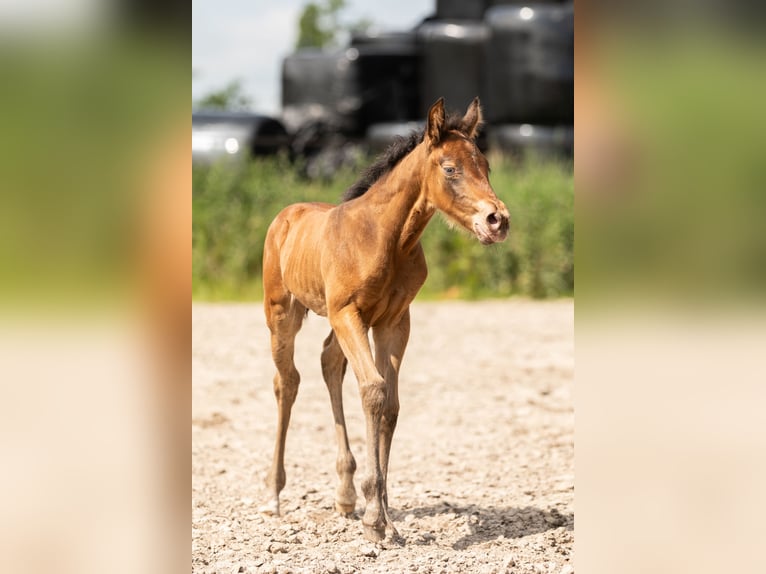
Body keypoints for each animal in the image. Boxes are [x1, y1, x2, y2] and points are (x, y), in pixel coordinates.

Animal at [259, 97, 510, 542]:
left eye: (485, 165)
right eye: (450, 169)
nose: (497, 221)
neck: (385, 237)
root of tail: (286, 216)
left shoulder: (393, 321)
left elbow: (390, 403)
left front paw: (384, 514)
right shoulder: (349, 312)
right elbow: (374, 392)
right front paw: (375, 518)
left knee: (328, 362)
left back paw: (344, 496)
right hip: (282, 313)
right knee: (286, 382)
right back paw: (274, 496)